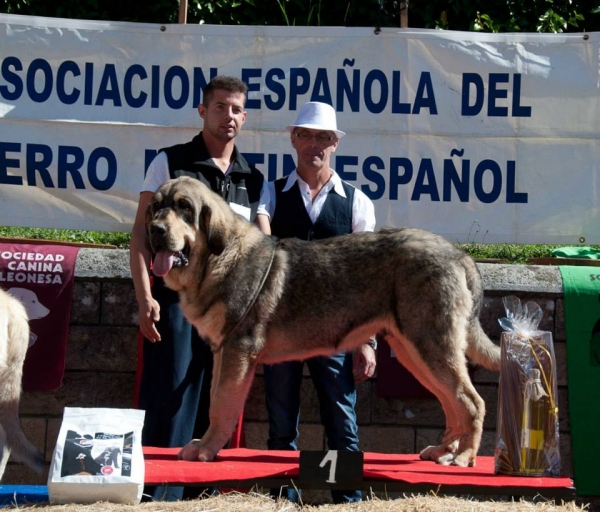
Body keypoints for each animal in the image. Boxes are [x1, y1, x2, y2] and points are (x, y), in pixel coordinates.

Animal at [146, 176, 502, 468]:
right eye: (156, 207)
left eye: (184, 207)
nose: (155, 230)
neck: (215, 260)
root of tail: (459, 254)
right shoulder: (223, 352)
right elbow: (215, 402)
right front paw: (204, 445)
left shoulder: (237, 351)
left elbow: (220, 404)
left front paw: (205, 450)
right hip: (415, 353)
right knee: (452, 403)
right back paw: (444, 450)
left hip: (429, 346)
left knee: (472, 402)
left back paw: (464, 456)